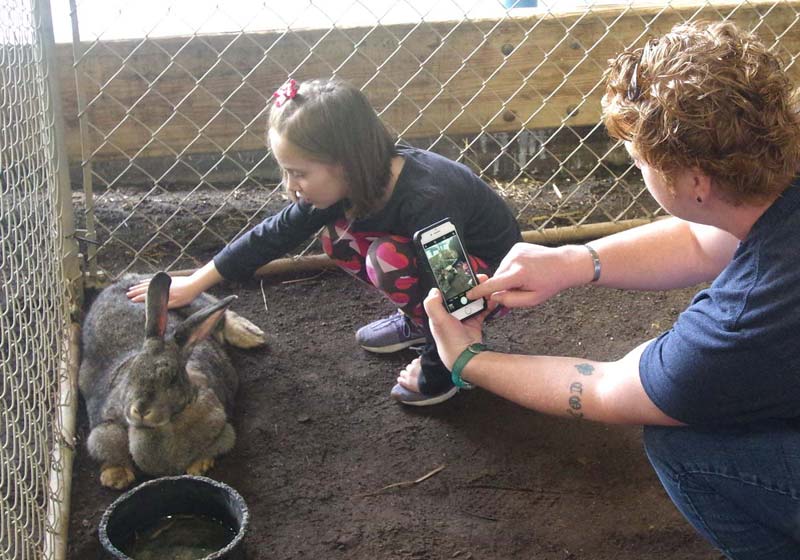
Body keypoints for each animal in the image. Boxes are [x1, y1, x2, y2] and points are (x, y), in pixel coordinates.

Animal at [78, 271, 265, 489]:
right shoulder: (104, 428)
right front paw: (116, 477)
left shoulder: (223, 430)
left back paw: (250, 335)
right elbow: (109, 448)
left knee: (220, 311)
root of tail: (128, 278)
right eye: (132, 371)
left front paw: (198, 467)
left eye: (172, 379)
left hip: (197, 305)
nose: (141, 410)